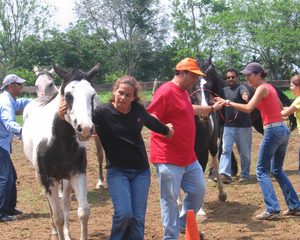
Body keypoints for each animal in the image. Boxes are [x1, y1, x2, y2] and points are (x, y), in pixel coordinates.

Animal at [22, 62, 99, 239]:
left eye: (92, 95)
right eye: (68, 95)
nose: (85, 128)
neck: (57, 142)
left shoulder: (78, 174)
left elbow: (83, 211)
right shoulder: (48, 179)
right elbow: (57, 217)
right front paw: (56, 231)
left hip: (65, 179)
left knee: (65, 202)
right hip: (41, 177)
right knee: (52, 208)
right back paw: (53, 232)